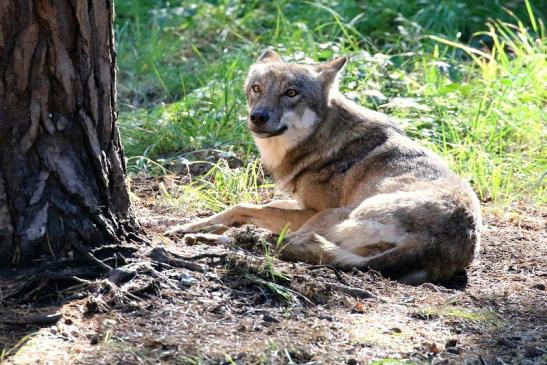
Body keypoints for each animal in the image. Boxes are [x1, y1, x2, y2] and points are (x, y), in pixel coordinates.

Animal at [169, 50, 482, 284]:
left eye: (291, 93)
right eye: (256, 89)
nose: (257, 117)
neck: (319, 139)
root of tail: (440, 241)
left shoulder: (313, 211)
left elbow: (244, 207)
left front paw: (195, 227)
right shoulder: (301, 204)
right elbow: (256, 205)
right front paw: (198, 224)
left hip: (332, 216)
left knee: (276, 245)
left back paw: (206, 239)